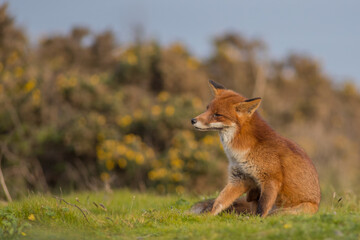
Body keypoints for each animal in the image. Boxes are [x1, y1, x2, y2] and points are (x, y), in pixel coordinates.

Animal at [191, 80, 320, 218]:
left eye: (217, 115)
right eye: (207, 109)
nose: (193, 120)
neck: (240, 153)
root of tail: (317, 206)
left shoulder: (271, 179)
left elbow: (262, 207)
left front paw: (256, 220)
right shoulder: (240, 178)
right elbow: (219, 201)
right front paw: (207, 216)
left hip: (287, 211)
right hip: (252, 195)